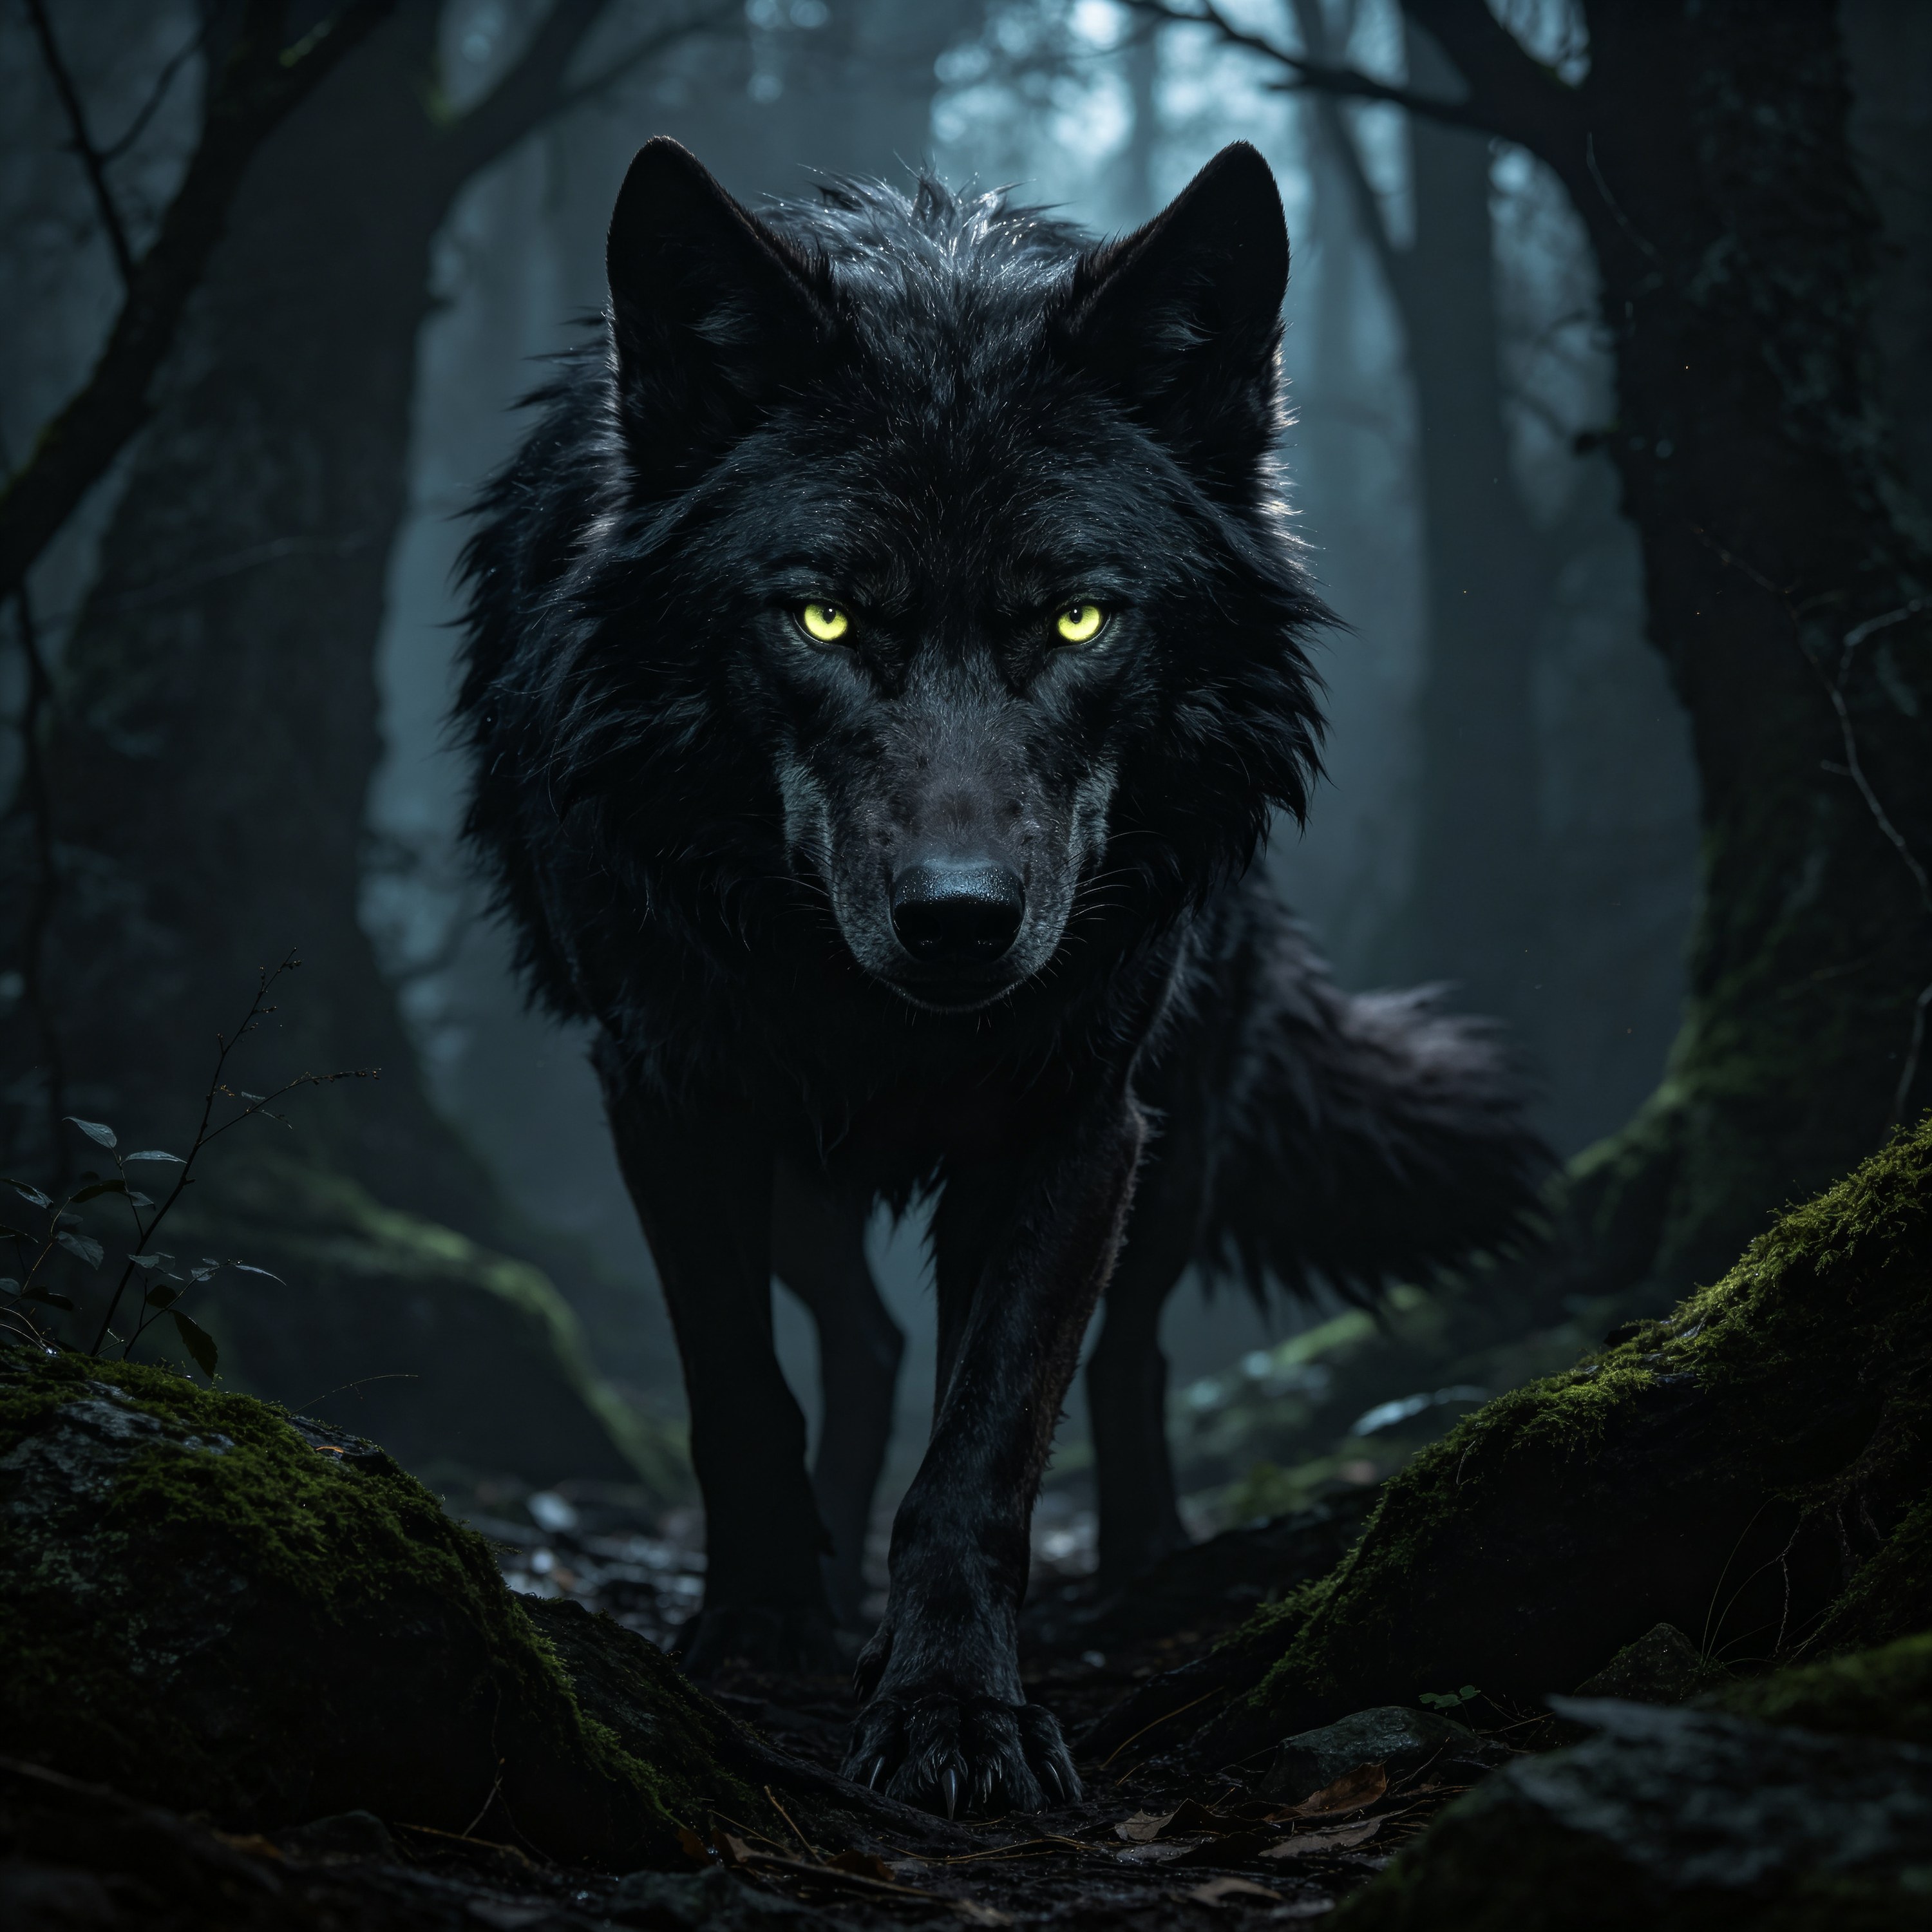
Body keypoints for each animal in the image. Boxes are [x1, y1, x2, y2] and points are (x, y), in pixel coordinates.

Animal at [456, 137, 1541, 1817]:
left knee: (1127, 1349)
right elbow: (735, 1386)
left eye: (1080, 617)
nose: (959, 921)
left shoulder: (1074, 1116)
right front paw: (763, 1622)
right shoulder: (670, 1093)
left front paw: (959, 1708)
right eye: (824, 614)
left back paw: (1145, 1569)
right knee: (861, 1338)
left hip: (1175, 1135)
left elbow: (985, 1444)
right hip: (805, 1161)